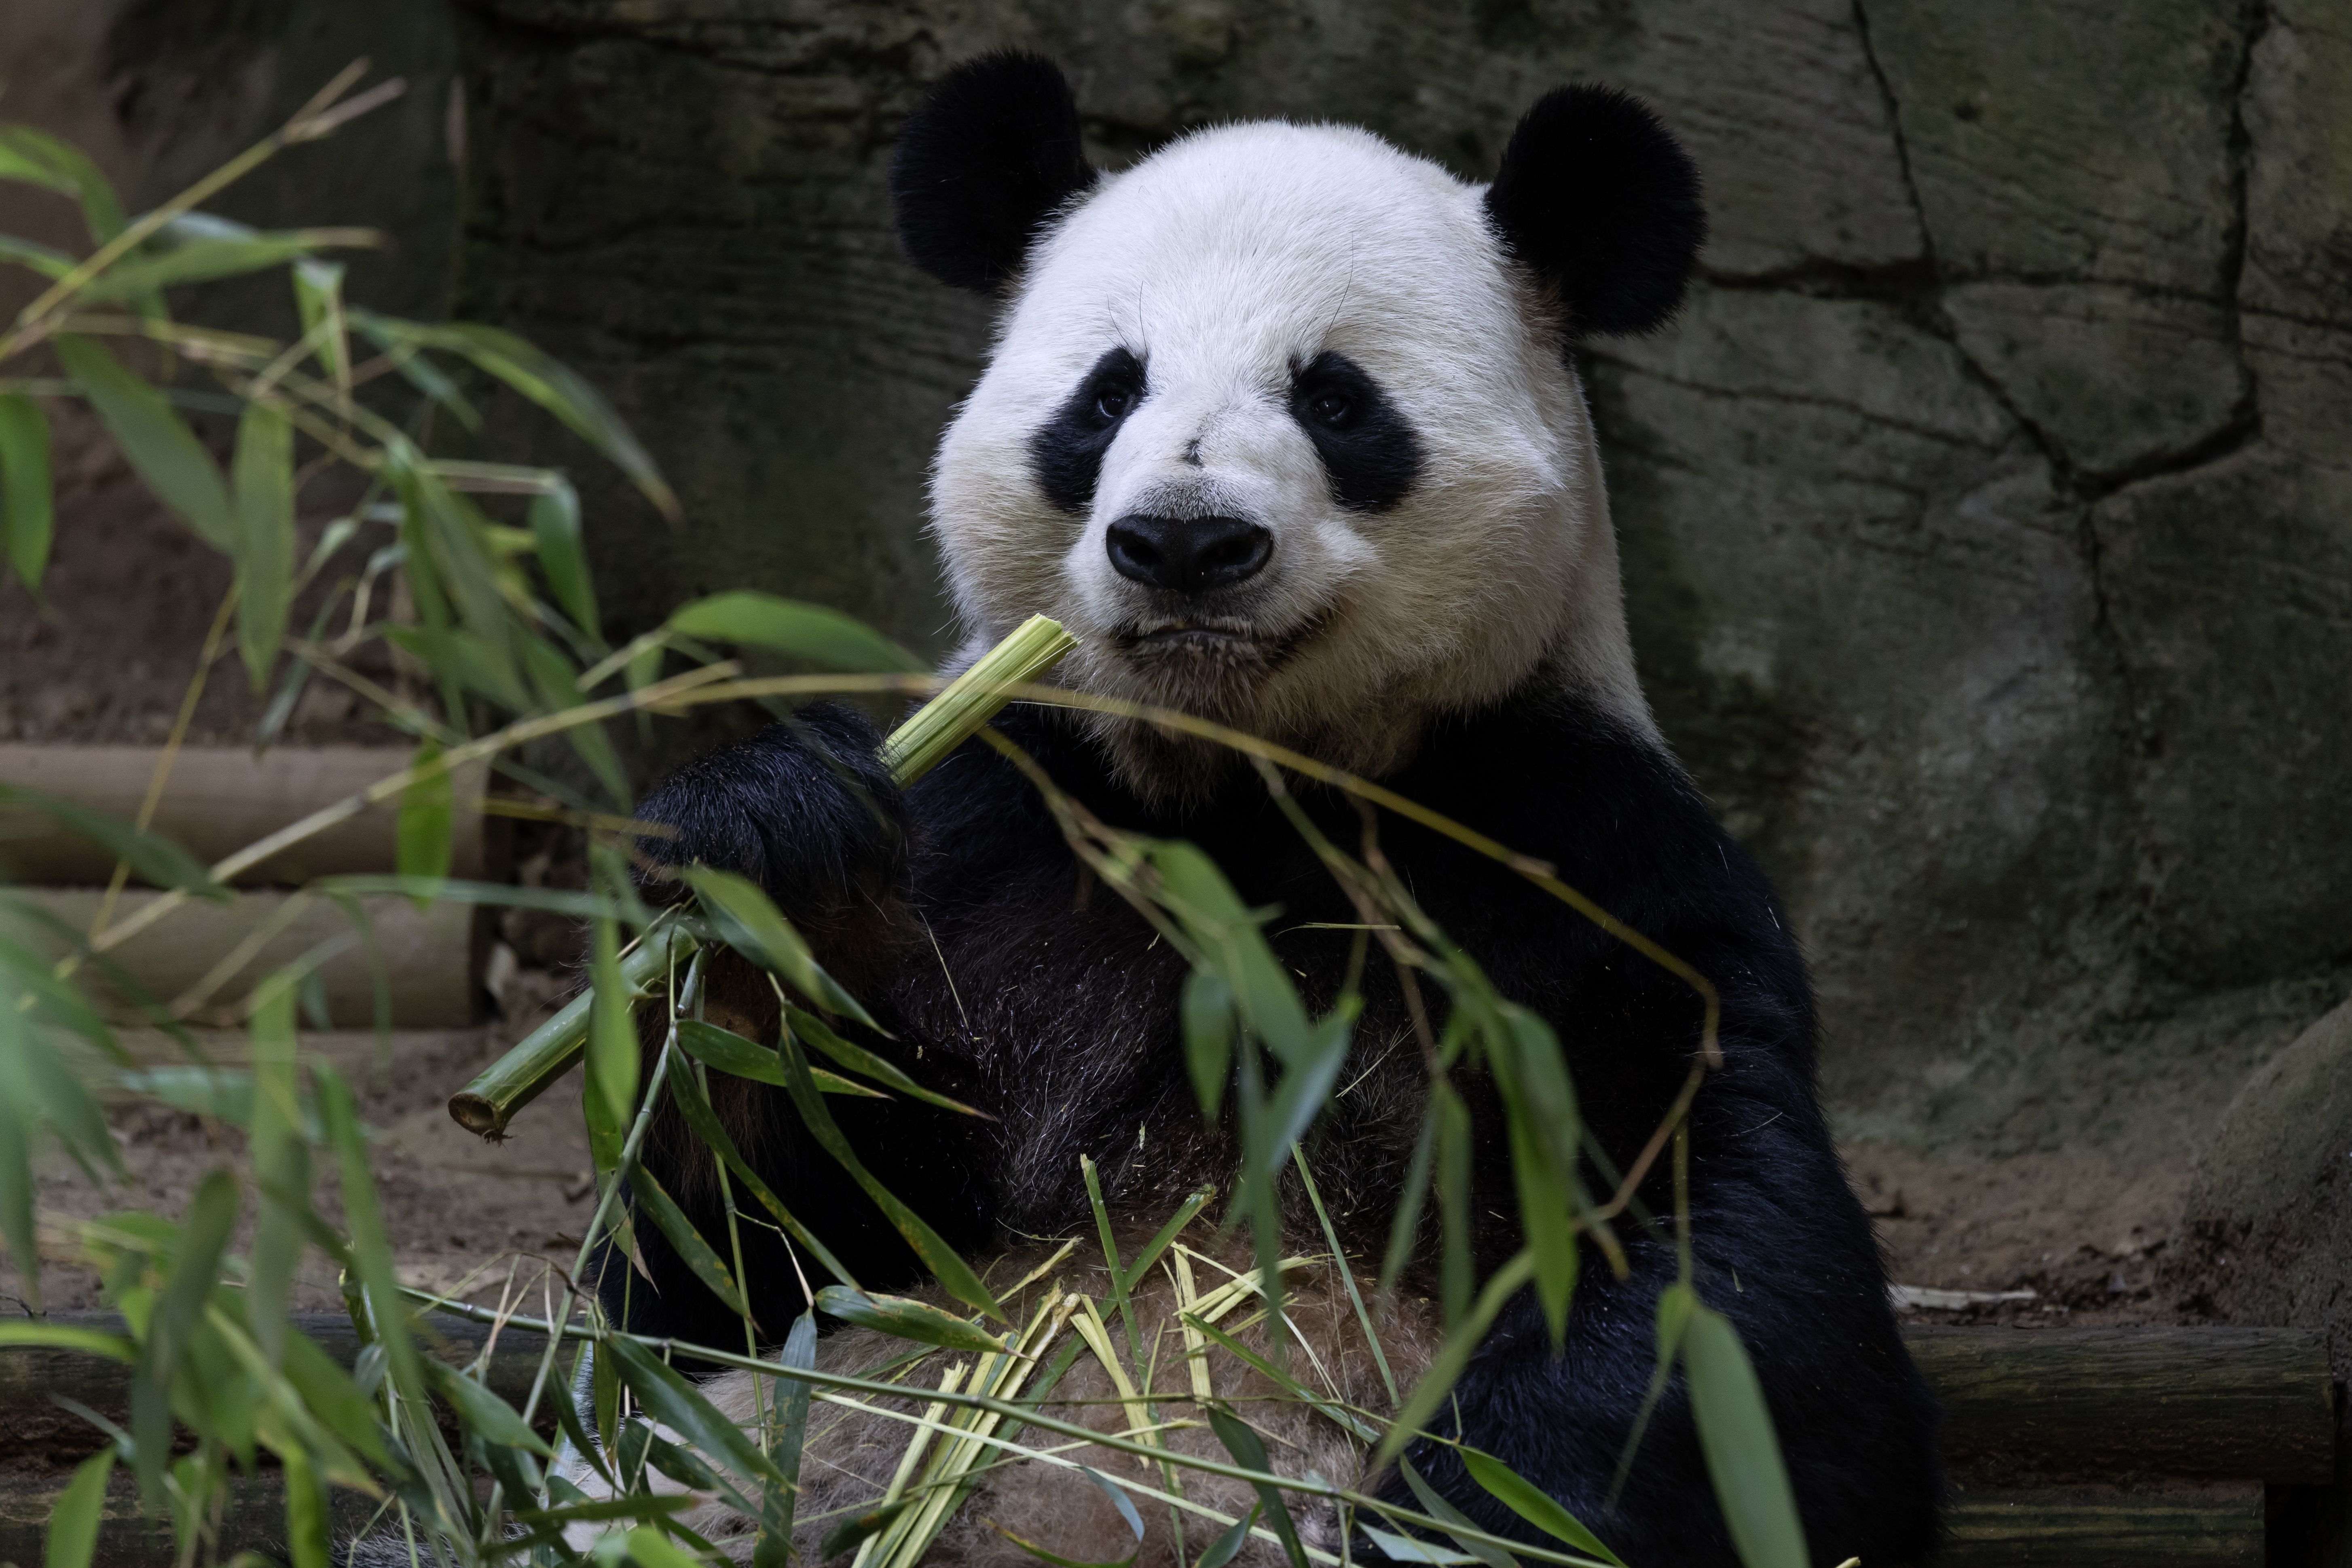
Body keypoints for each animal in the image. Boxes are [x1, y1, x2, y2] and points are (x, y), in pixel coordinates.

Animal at [596, 52, 1942, 1568]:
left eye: (1337, 401)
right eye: (1105, 397)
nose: (1185, 542)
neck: (1245, 790)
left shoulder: (1570, 856)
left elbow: (1733, 1293)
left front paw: (1464, 1511)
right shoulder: (1003, 831)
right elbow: (739, 1260)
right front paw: (765, 858)